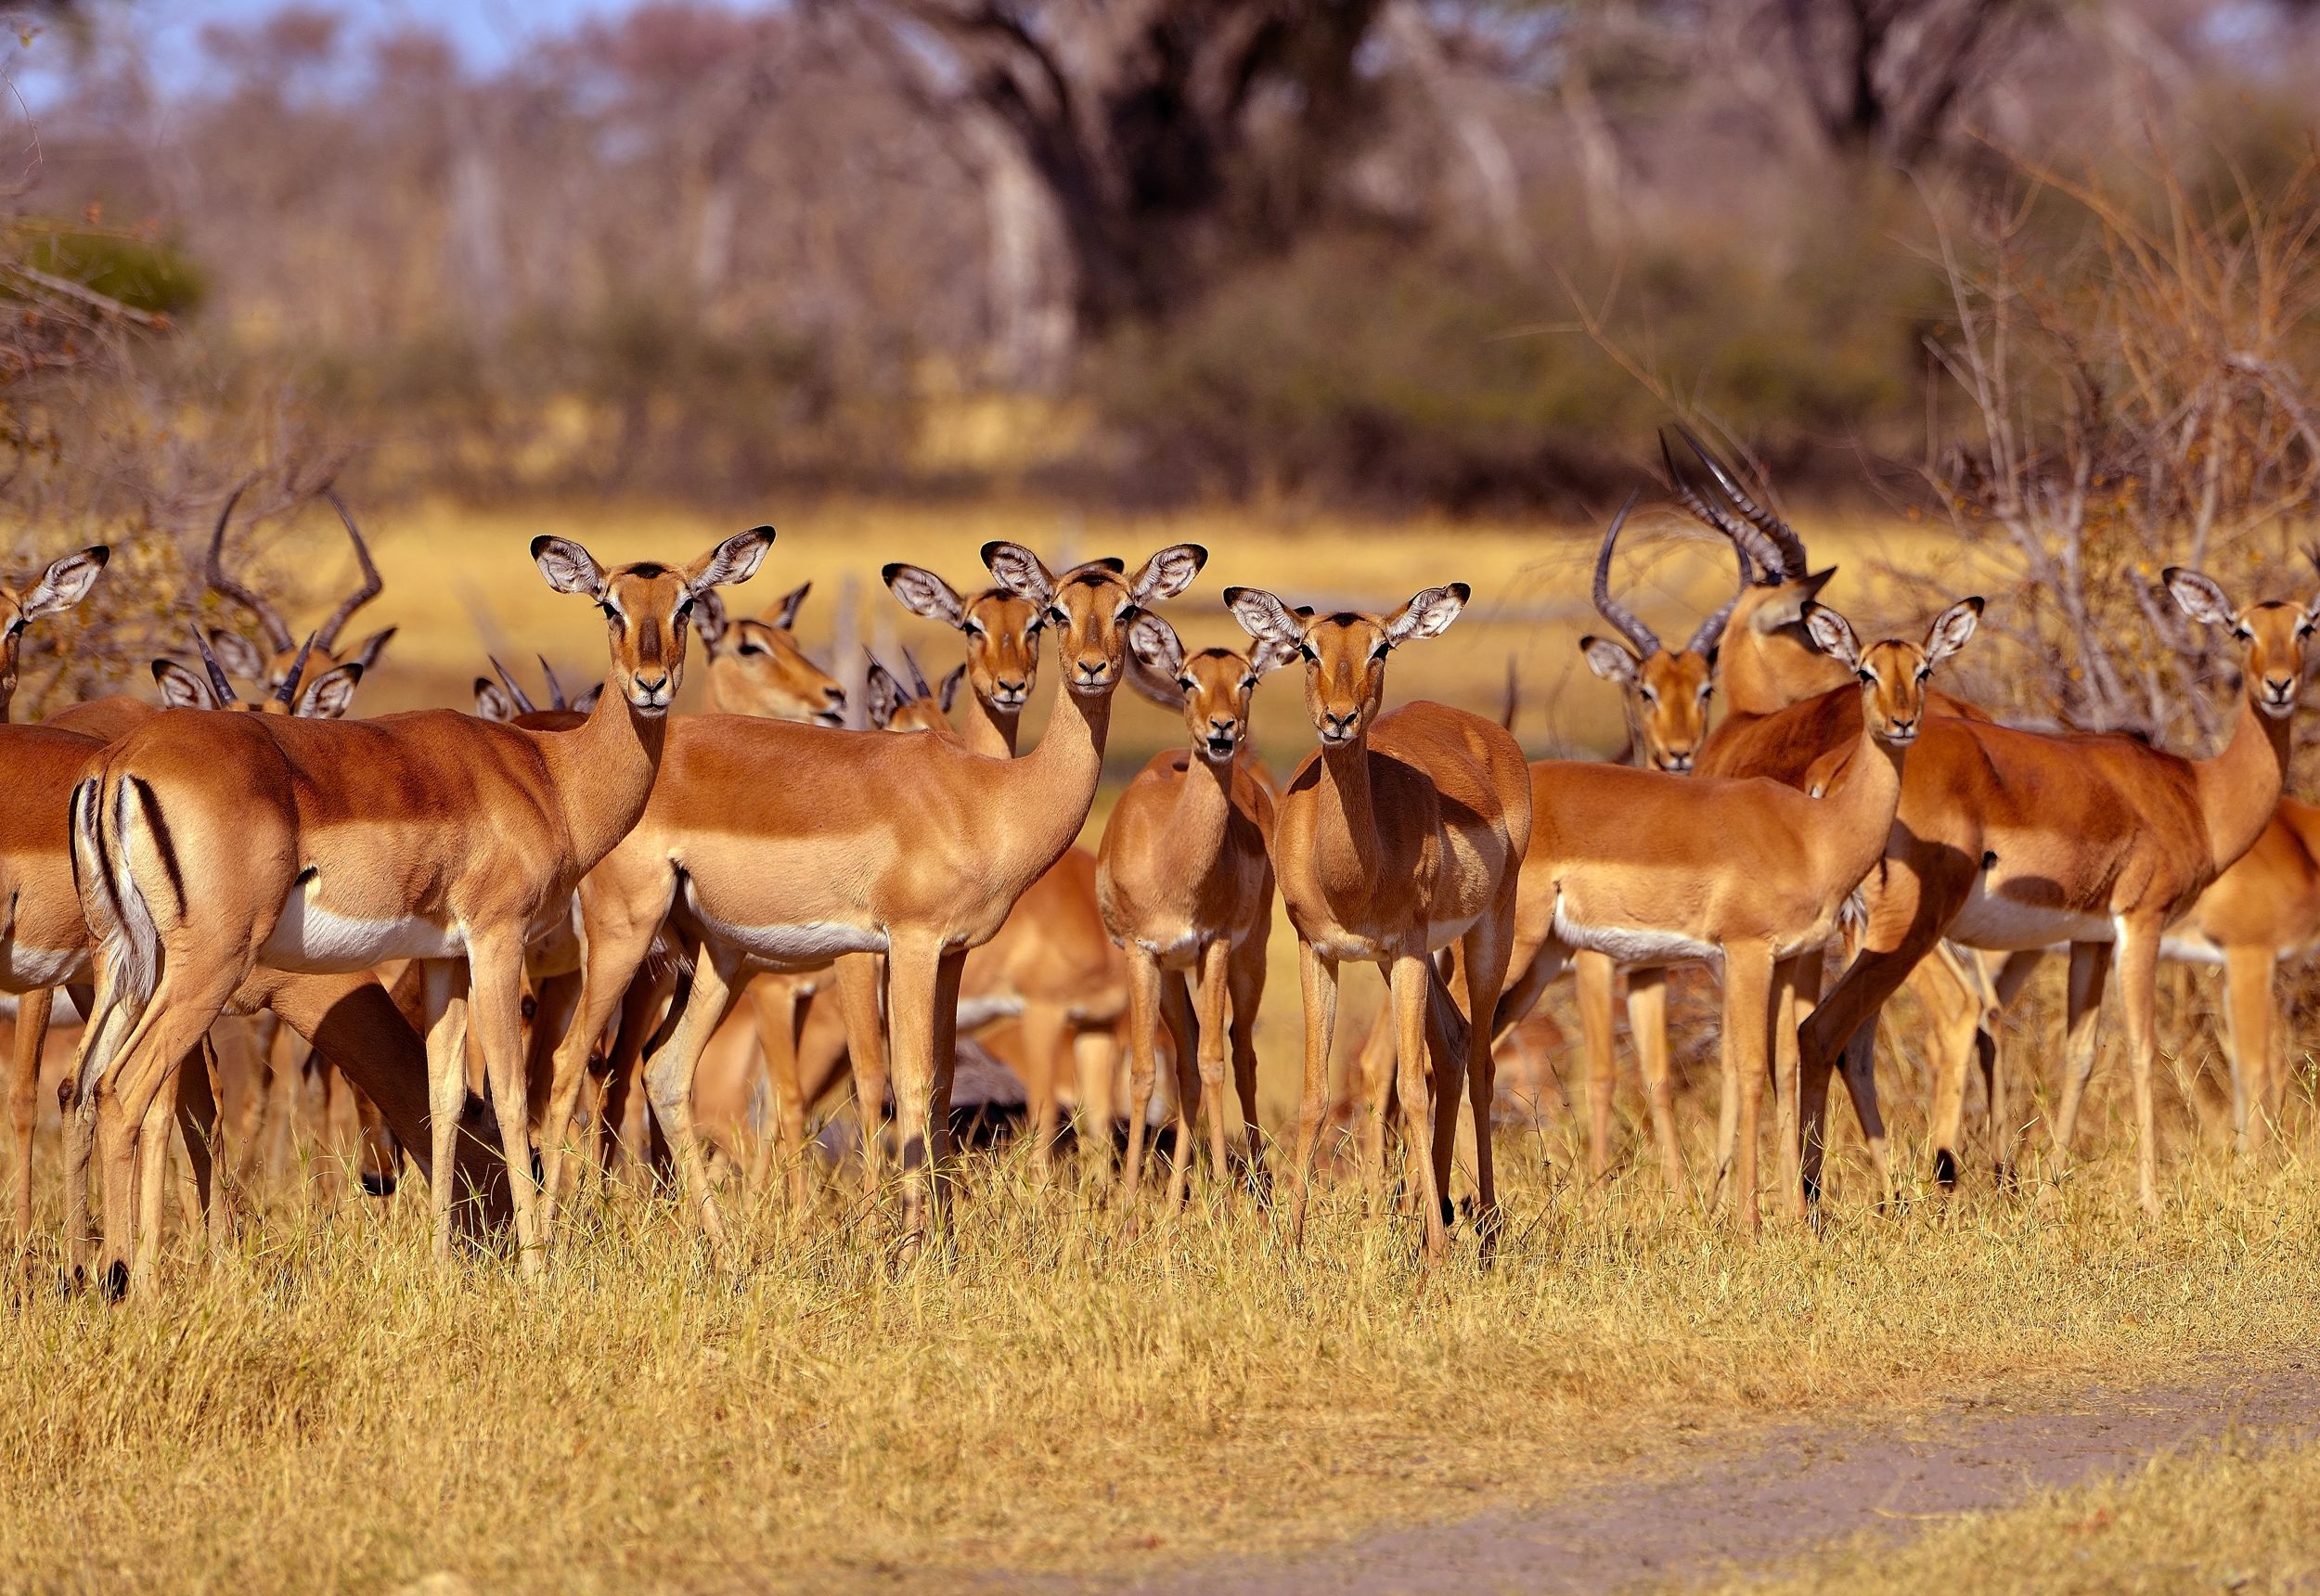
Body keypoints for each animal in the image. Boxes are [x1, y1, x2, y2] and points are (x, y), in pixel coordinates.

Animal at [66, 528, 772, 1290]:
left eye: (685, 603)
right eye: (609, 605)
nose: (651, 684)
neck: (550, 775)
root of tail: (120, 763)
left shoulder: (443, 959)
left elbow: (443, 1098)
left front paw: (439, 1266)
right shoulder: (497, 939)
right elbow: (513, 1091)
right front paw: (535, 1273)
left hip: (127, 963)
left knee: (80, 1087)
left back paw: (90, 1276)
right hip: (205, 966)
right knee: (124, 1091)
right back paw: (134, 1289)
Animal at [536, 541, 1204, 1255]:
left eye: (1126, 609)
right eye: (1056, 611)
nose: (1092, 668)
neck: (991, 796)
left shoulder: (952, 954)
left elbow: (940, 1085)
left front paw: (943, 1242)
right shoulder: (909, 944)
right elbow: (907, 1082)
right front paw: (911, 1249)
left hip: (719, 959)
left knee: (663, 1069)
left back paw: (721, 1249)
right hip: (626, 937)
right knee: (570, 1060)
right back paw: (545, 1248)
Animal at [1099, 611, 1289, 1201]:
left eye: (1248, 679)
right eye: (1188, 679)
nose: (1221, 729)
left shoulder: (1216, 945)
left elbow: (1213, 1063)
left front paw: (1224, 1197)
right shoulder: (1142, 953)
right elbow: (1144, 1071)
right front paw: (1131, 1200)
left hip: (1250, 957)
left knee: (1240, 1051)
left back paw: (1252, 1181)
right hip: (1172, 974)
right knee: (1182, 1060)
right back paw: (1174, 1199)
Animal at [1226, 581, 1531, 1259]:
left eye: (1381, 647)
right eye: (1307, 649)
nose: (1338, 720)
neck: (1352, 873)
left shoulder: (1407, 949)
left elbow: (1411, 1090)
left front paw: (1438, 1259)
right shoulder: (1318, 950)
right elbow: (1314, 1095)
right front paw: (1291, 1245)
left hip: (1486, 932)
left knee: (1479, 1060)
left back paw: (1484, 1228)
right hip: (1421, 960)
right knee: (1451, 1043)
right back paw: (1433, 1214)